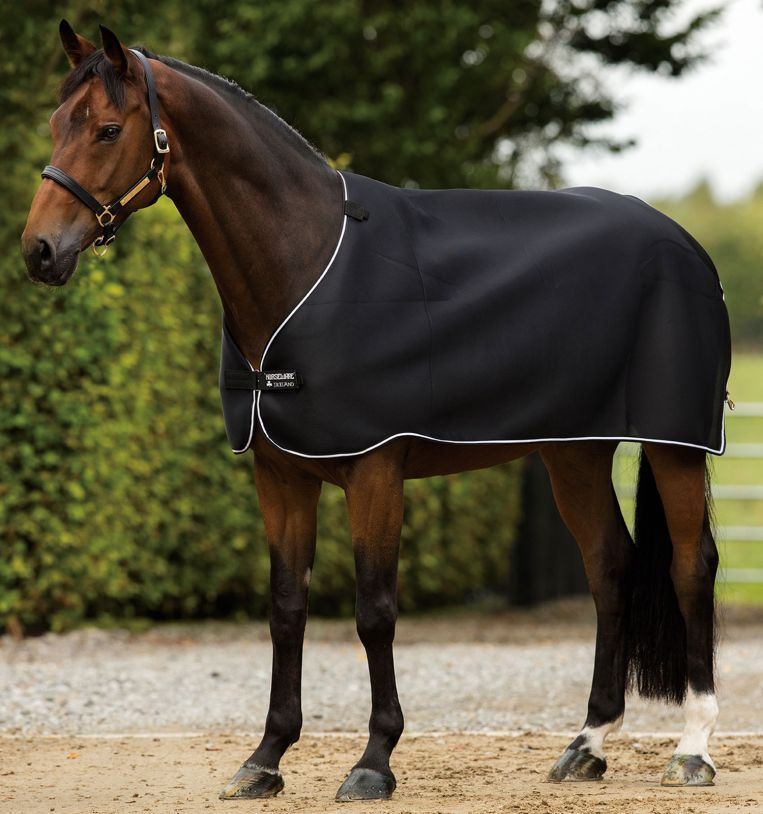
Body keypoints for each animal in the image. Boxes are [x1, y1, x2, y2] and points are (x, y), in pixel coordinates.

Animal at [21, 21, 730, 802]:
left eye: (108, 129)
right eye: (56, 123)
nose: (39, 251)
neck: (304, 263)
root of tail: (684, 244)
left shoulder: (375, 472)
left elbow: (374, 611)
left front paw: (373, 761)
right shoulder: (280, 478)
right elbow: (286, 609)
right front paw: (265, 758)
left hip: (673, 445)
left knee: (691, 567)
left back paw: (692, 750)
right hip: (573, 451)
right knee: (609, 566)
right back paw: (586, 744)